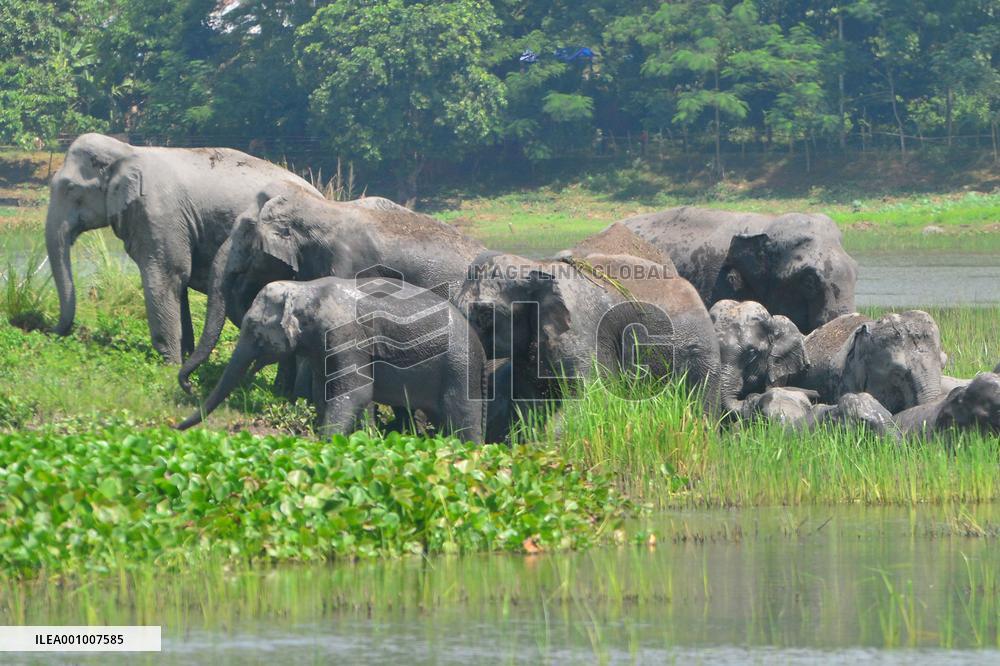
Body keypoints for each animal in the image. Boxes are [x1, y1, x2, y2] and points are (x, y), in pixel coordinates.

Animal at [46, 133, 320, 362]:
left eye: (70, 188)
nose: (53, 330)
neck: (127, 152)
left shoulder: (157, 215)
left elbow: (165, 277)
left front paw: (169, 364)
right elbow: (179, 282)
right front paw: (183, 355)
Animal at [177, 277, 494, 442]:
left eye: (254, 330)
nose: (175, 427)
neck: (305, 289)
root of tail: (481, 351)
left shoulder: (345, 335)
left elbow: (356, 392)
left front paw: (327, 444)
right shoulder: (321, 347)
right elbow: (324, 392)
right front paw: (360, 440)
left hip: (458, 368)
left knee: (461, 416)